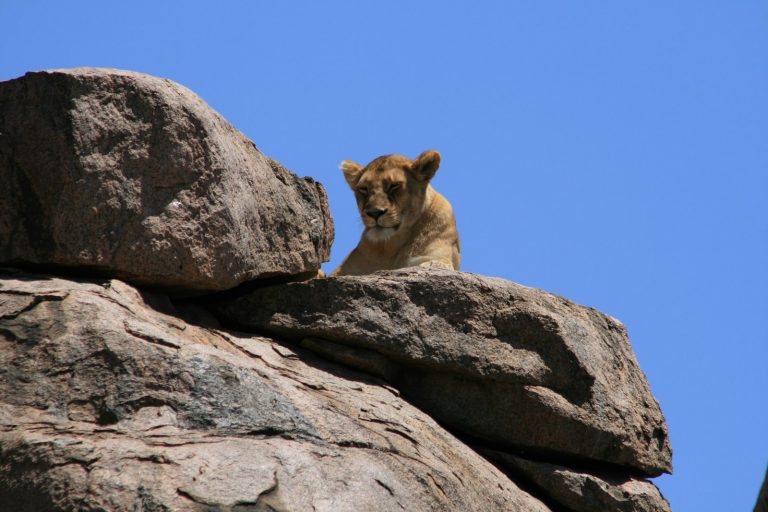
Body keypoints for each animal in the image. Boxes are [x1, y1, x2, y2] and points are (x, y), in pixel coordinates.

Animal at [331, 150, 460, 276]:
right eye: (363, 189)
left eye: (394, 185)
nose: (375, 213)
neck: (392, 246)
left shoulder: (433, 255)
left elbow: (436, 263)